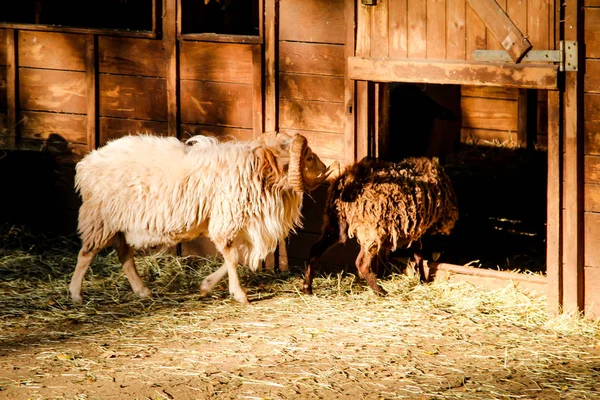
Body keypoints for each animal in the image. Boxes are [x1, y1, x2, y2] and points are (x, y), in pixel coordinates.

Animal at [70, 133, 336, 304]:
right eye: (308, 157)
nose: (325, 167)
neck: (261, 170)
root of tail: (86, 164)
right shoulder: (226, 218)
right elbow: (231, 256)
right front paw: (239, 294)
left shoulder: (240, 222)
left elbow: (237, 257)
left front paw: (207, 286)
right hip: (101, 219)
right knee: (86, 253)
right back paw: (76, 294)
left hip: (121, 223)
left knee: (124, 255)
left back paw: (142, 291)